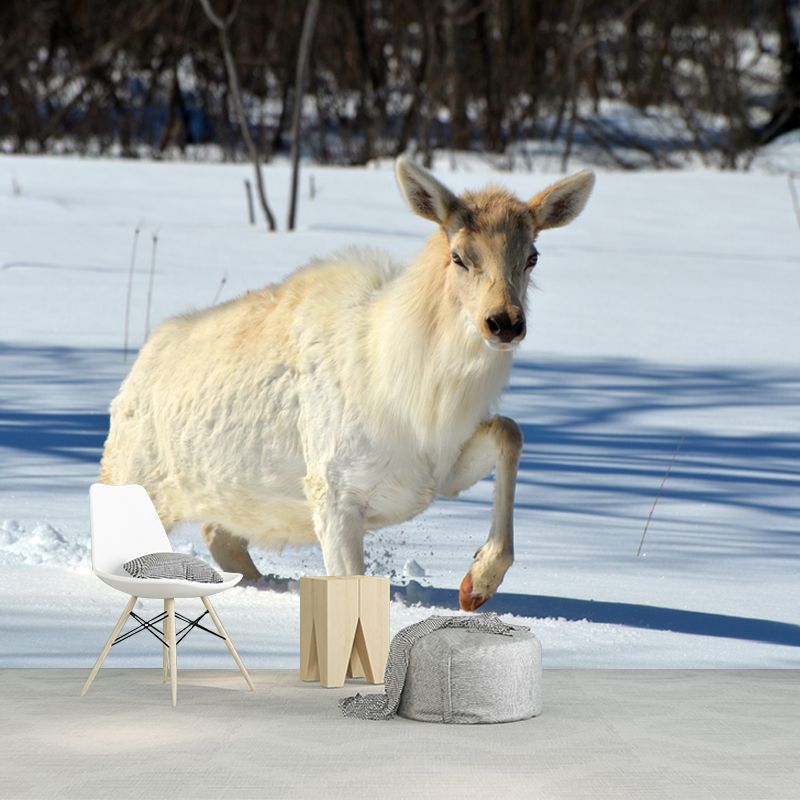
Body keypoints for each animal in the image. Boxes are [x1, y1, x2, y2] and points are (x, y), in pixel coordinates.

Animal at [100, 157, 594, 611]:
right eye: (459, 256)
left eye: (532, 256)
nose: (504, 322)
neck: (423, 396)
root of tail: (134, 376)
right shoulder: (333, 491)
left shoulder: (438, 475)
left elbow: (510, 431)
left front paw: (477, 582)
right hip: (132, 479)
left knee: (221, 535)